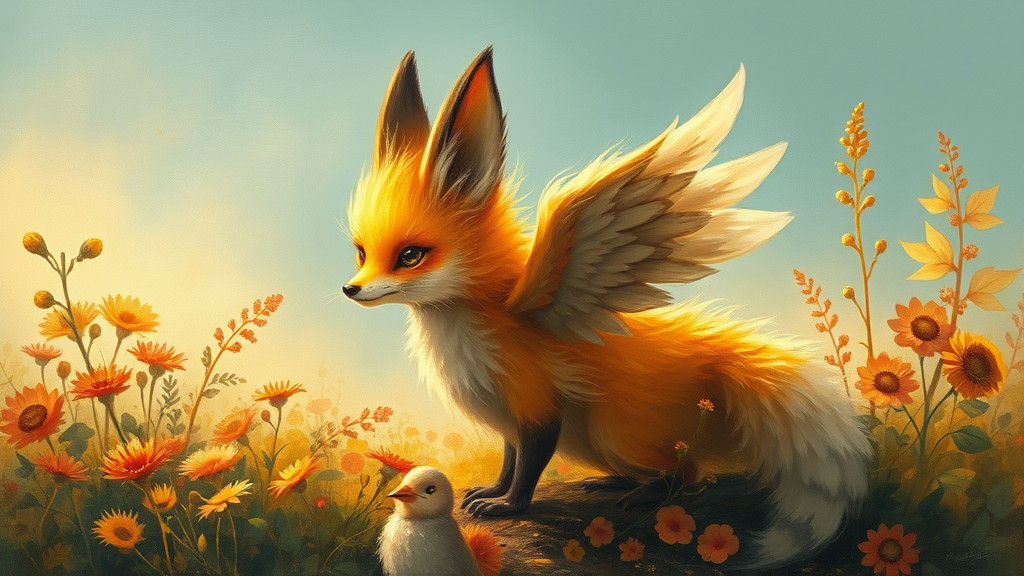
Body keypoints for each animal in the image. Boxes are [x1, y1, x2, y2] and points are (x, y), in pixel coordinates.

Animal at [343, 47, 871, 569]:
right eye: (362, 252)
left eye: (410, 255)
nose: (350, 290)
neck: (467, 322)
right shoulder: (509, 415)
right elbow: (510, 461)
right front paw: (491, 492)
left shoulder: (536, 404)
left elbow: (529, 466)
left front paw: (508, 506)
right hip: (596, 442)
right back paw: (614, 482)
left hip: (613, 433)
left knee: (690, 474)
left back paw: (644, 493)